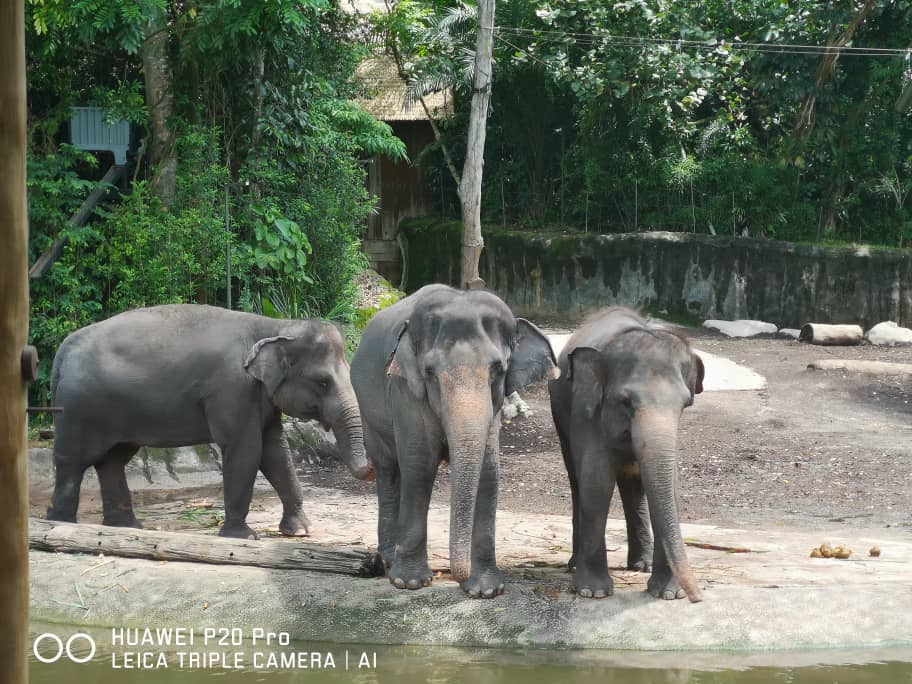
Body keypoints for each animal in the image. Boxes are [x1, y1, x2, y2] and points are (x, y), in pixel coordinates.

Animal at [47, 304, 373, 539]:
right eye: (322, 382)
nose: (371, 469)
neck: (275, 326)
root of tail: (64, 348)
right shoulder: (232, 390)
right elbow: (245, 450)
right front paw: (243, 536)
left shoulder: (260, 398)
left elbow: (277, 452)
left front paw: (300, 531)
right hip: (79, 409)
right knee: (73, 460)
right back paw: (61, 523)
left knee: (112, 460)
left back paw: (127, 527)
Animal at [350, 284, 558, 598]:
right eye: (430, 373)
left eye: (498, 369)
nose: (457, 575)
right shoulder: (404, 389)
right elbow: (419, 463)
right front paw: (410, 583)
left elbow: (488, 470)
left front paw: (485, 590)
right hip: (368, 413)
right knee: (389, 471)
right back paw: (387, 559)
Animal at [549, 307, 705, 603]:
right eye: (625, 402)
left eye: (685, 404)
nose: (697, 597)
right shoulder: (587, 411)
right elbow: (596, 480)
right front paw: (593, 592)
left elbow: (670, 485)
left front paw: (668, 594)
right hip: (561, 419)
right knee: (577, 480)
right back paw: (574, 565)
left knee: (634, 487)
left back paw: (641, 566)